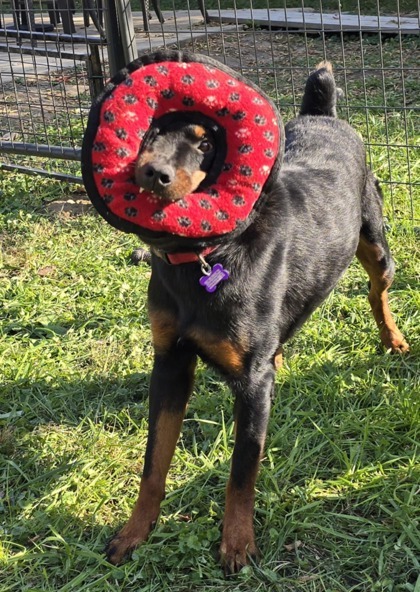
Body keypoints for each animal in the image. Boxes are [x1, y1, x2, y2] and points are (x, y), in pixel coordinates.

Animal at [106, 61, 410, 572]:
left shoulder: (250, 383)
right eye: (149, 132)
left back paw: (392, 338)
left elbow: (241, 472)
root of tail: (322, 114)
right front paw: (133, 533)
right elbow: (154, 461)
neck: (205, 258)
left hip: (375, 244)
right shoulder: (169, 363)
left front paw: (237, 544)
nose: (153, 172)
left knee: (377, 292)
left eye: (205, 143)